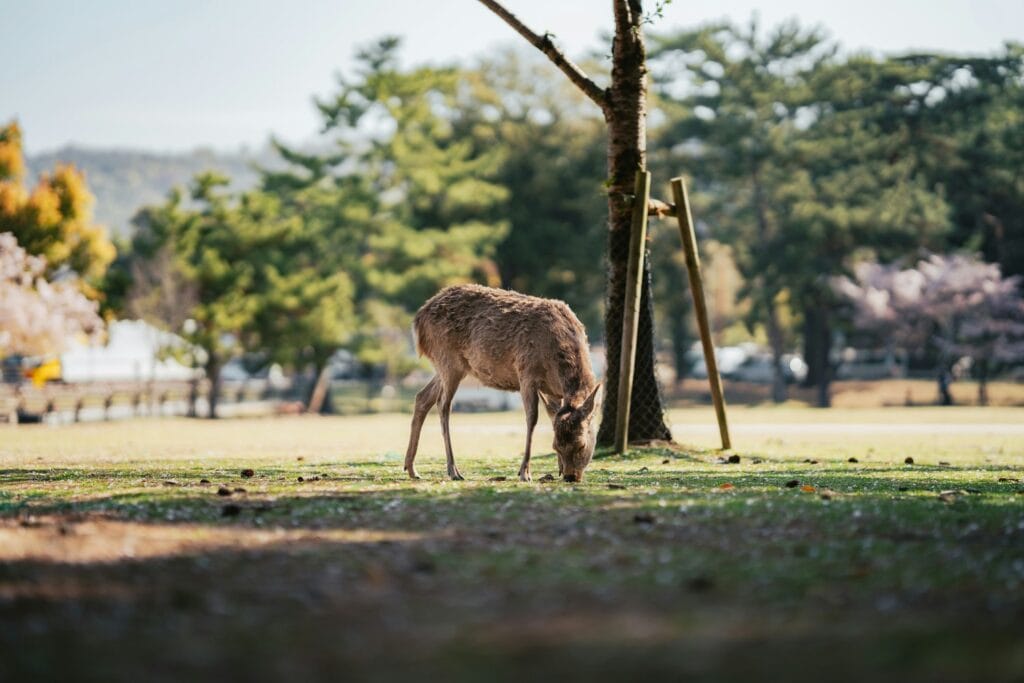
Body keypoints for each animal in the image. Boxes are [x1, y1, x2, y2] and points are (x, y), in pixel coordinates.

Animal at [404, 284, 602, 483]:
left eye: (581, 445)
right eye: (556, 446)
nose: (570, 476)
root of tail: (418, 320)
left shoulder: (552, 390)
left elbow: (552, 416)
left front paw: (556, 469)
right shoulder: (526, 372)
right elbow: (532, 418)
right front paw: (524, 473)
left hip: (447, 366)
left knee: (422, 397)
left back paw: (412, 468)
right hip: (448, 359)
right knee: (443, 404)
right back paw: (453, 470)